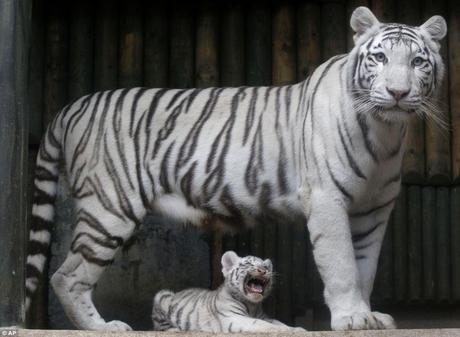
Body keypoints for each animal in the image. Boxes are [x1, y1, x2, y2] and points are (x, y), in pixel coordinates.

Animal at [153, 249, 308, 330]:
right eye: (249, 264)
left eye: (266, 266)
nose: (263, 270)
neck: (252, 305)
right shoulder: (234, 317)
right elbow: (261, 324)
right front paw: (281, 330)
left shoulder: (263, 316)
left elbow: (277, 321)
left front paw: (297, 329)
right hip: (162, 295)